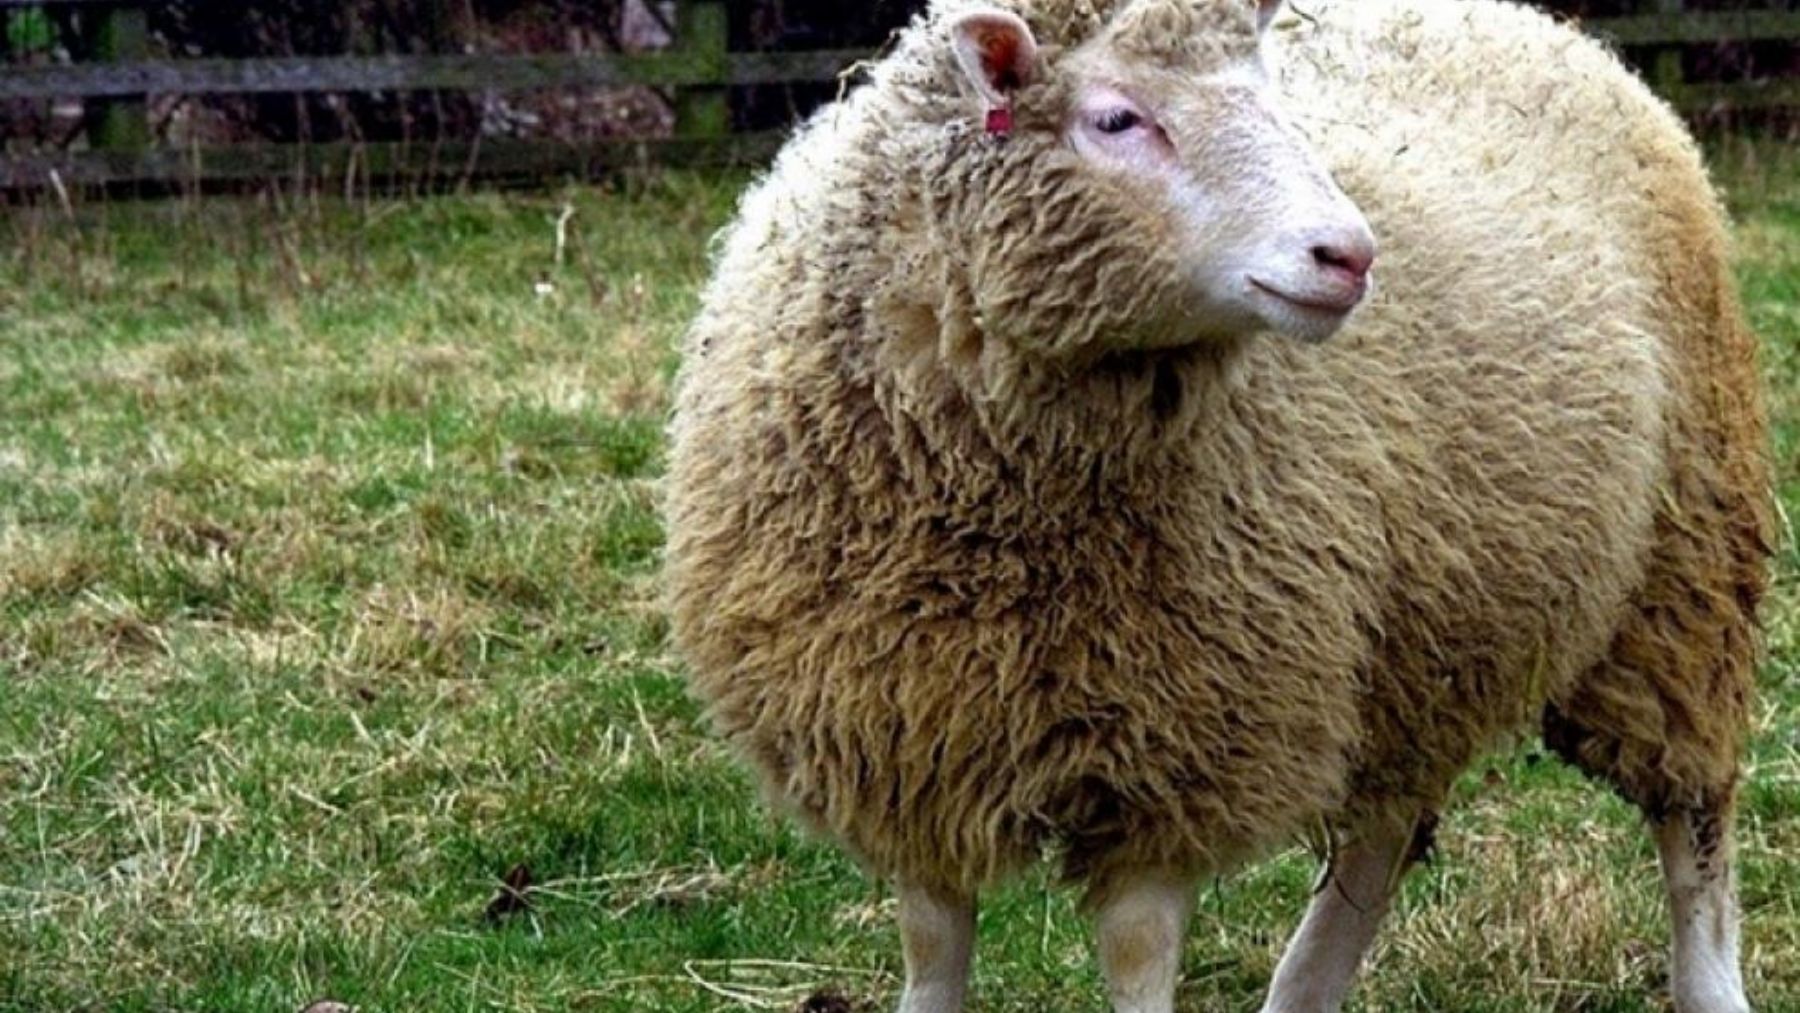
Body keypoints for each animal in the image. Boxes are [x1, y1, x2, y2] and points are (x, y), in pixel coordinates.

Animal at [662, 1, 1773, 1011]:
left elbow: (1137, 949)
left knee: (1693, 817)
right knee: (1383, 827)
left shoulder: (1180, 739)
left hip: (1683, 561)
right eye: (1117, 118)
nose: (1350, 254)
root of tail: (1545, 25)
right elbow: (933, 947)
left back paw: (1712, 979)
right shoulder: (904, 735)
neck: (995, 524)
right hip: (1423, 625)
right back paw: (1304, 989)